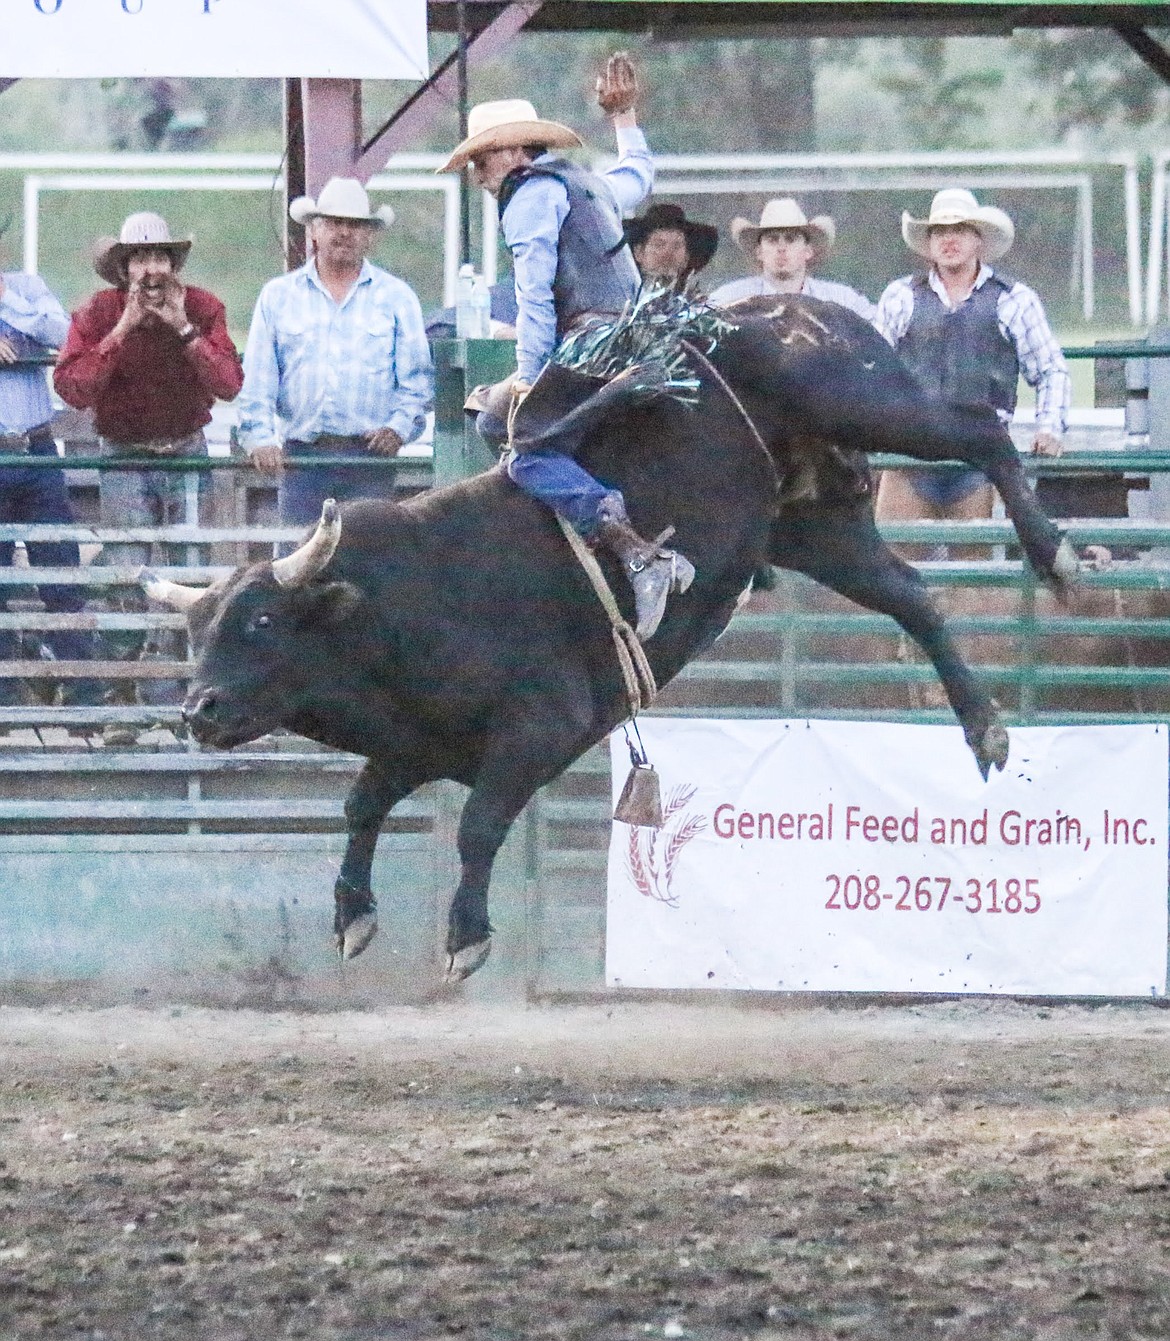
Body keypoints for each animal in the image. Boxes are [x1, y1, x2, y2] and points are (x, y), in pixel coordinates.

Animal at [150, 296, 1073, 986]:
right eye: (197, 628)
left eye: (261, 621)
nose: (199, 710)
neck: (405, 597)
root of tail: (784, 304)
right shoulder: (417, 743)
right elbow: (361, 805)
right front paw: (352, 916)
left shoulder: (540, 728)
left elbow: (478, 824)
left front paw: (467, 938)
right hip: (813, 527)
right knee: (914, 597)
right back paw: (986, 727)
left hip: (862, 396)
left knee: (981, 431)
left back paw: (1057, 552)